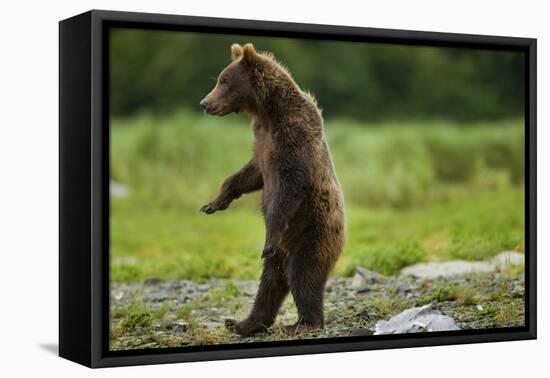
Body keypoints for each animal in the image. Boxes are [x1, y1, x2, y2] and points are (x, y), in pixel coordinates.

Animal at [198, 42, 344, 336]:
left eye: (224, 80)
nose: (204, 103)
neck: (266, 112)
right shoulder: (262, 143)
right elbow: (249, 174)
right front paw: (214, 203)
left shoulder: (293, 137)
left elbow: (290, 185)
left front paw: (269, 232)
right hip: (282, 253)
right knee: (270, 282)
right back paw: (243, 323)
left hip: (313, 231)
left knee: (303, 274)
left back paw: (303, 323)